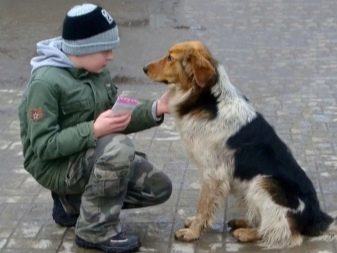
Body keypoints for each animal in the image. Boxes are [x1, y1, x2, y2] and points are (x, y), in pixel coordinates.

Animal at [142, 40, 336, 248]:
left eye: (170, 57)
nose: (144, 68)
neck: (206, 98)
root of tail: (316, 216)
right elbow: (204, 205)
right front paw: (195, 224)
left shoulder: (214, 172)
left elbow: (203, 204)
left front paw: (193, 232)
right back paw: (242, 223)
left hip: (263, 182)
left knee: (284, 233)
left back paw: (247, 233)